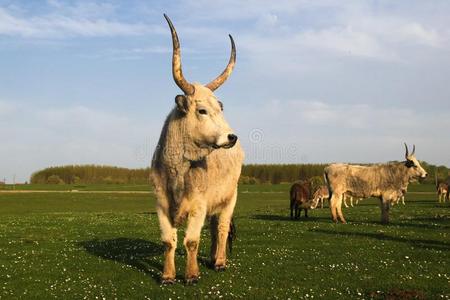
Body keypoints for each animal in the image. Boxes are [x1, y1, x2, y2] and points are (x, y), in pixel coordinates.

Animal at [150, 14, 243, 286]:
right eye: (202, 110)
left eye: (220, 109)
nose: (232, 137)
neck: (177, 171)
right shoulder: (160, 203)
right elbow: (168, 241)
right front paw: (168, 275)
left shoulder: (199, 205)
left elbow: (191, 241)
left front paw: (191, 275)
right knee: (213, 228)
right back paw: (212, 258)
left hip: (230, 197)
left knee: (221, 228)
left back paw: (220, 261)